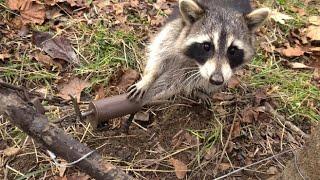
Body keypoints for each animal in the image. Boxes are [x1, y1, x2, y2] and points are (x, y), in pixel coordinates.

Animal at [127, 0, 270, 106]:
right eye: (206, 46)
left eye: (232, 50)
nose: (216, 79)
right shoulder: (175, 30)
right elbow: (159, 54)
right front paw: (147, 78)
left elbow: (195, 79)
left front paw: (196, 89)